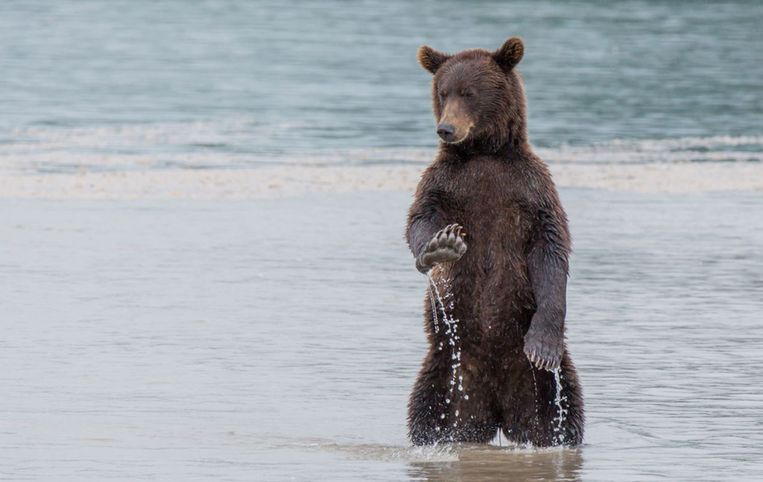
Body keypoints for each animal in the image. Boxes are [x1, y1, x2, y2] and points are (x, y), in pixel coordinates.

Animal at [406, 37, 584, 448]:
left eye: (469, 93)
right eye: (443, 91)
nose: (446, 128)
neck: (484, 152)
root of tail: (499, 414)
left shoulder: (530, 189)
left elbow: (551, 250)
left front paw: (542, 346)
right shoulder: (445, 183)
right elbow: (420, 219)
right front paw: (440, 246)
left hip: (543, 388)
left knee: (565, 413)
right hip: (446, 372)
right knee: (426, 414)